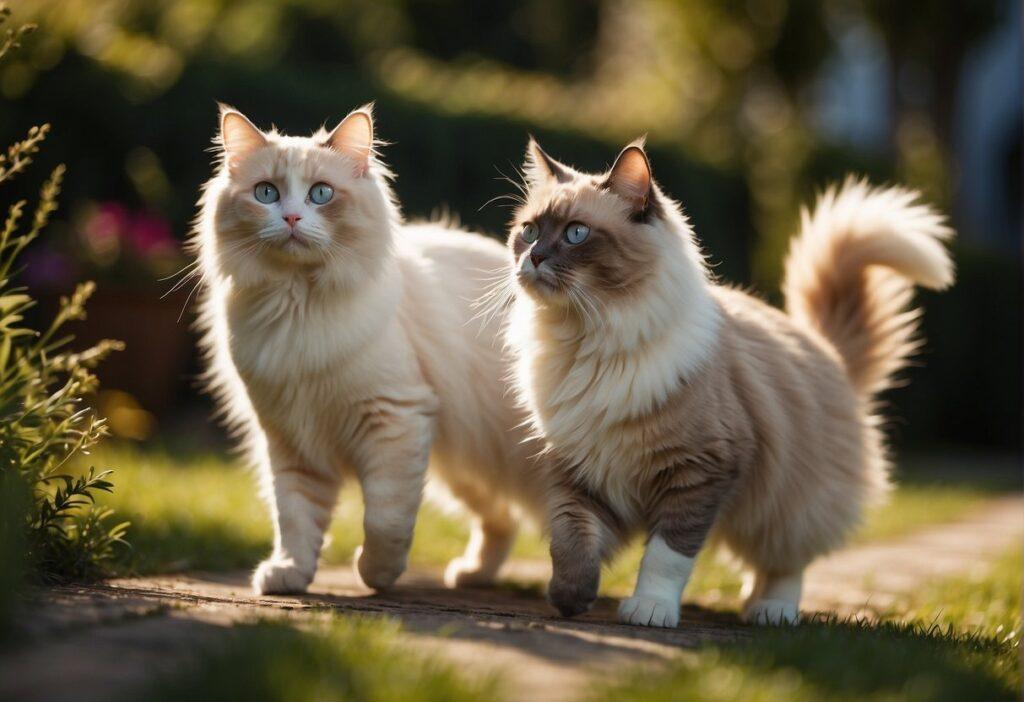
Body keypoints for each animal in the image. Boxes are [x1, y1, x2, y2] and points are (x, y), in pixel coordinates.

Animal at [193, 105, 544, 597]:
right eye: (266, 193)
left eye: (321, 194)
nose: (292, 219)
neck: (297, 307)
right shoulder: (290, 440)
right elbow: (294, 520)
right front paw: (288, 574)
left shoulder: (394, 419)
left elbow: (384, 520)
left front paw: (375, 575)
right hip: (465, 468)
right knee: (503, 520)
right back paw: (471, 575)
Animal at [507, 137, 954, 626]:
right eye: (529, 231)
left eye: (576, 234)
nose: (534, 257)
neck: (585, 341)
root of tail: (826, 348)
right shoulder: (580, 470)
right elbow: (571, 540)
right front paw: (570, 598)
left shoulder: (699, 471)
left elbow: (665, 557)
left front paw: (650, 609)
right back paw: (747, 599)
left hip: (787, 507)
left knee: (785, 564)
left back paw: (770, 611)